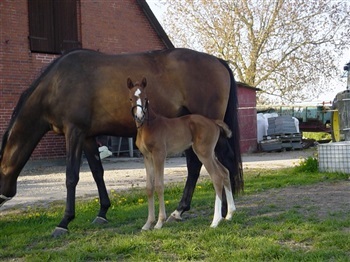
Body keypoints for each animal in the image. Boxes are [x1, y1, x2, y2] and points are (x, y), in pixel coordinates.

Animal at [126, 78, 235, 229]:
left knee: (217, 177)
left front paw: (159, 222)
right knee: (224, 172)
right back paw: (229, 214)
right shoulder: (147, 157)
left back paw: (215, 221)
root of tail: (213, 122)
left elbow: (159, 185)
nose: (139, 116)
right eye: (131, 98)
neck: (148, 126)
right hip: (209, 153)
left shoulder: (159, 154)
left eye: (145, 98)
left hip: (203, 153)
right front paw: (148, 224)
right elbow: (149, 187)